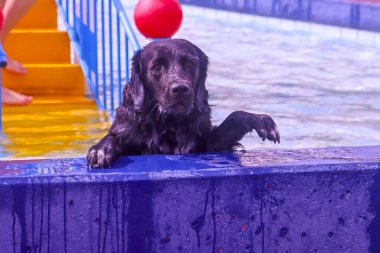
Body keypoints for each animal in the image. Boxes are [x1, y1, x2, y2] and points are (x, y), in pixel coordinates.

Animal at [87, 38, 280, 168]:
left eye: (189, 65)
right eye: (157, 67)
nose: (180, 89)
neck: (167, 124)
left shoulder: (208, 144)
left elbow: (234, 118)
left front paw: (259, 119)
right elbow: (114, 137)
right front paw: (100, 149)